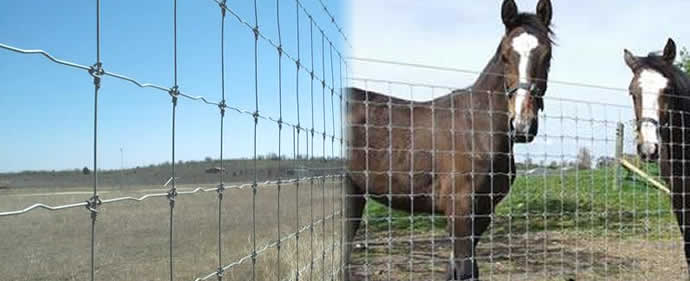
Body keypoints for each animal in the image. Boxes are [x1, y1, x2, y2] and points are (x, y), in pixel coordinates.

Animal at [344, 1, 552, 278]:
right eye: (505, 56)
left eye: (547, 55)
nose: (521, 125)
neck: (477, 130)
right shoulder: (461, 211)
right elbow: (465, 270)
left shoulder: (482, 213)